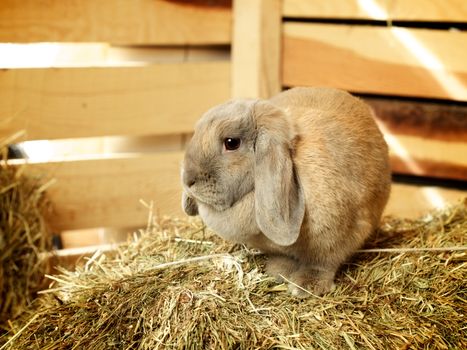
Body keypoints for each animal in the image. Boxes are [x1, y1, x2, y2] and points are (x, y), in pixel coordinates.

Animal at [181, 86, 394, 296]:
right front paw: (278, 271)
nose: (187, 180)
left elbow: (323, 263)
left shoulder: (338, 237)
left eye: (231, 142)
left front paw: (305, 286)